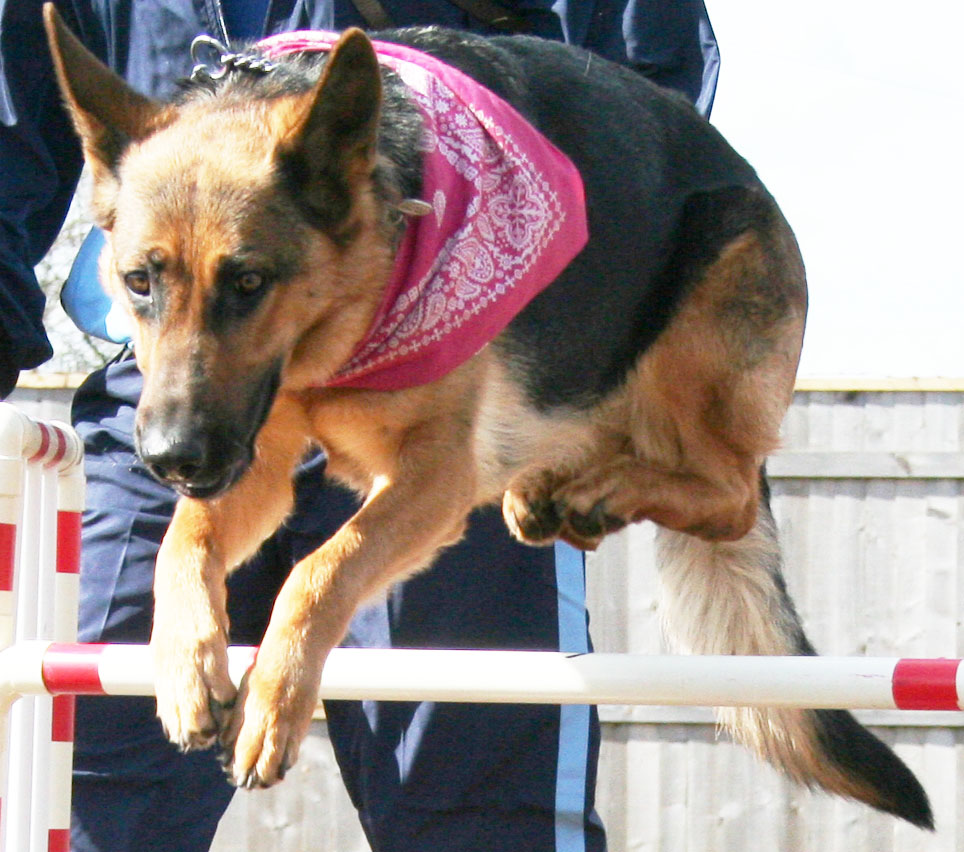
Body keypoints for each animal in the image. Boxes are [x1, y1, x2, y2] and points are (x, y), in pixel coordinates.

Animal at [45, 0, 932, 824]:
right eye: (139, 282)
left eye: (249, 282)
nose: (168, 457)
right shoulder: (254, 456)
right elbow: (184, 541)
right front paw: (184, 664)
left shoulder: (434, 474)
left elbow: (319, 569)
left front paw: (273, 702)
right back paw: (559, 491)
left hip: (713, 278)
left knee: (730, 492)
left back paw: (603, 488)